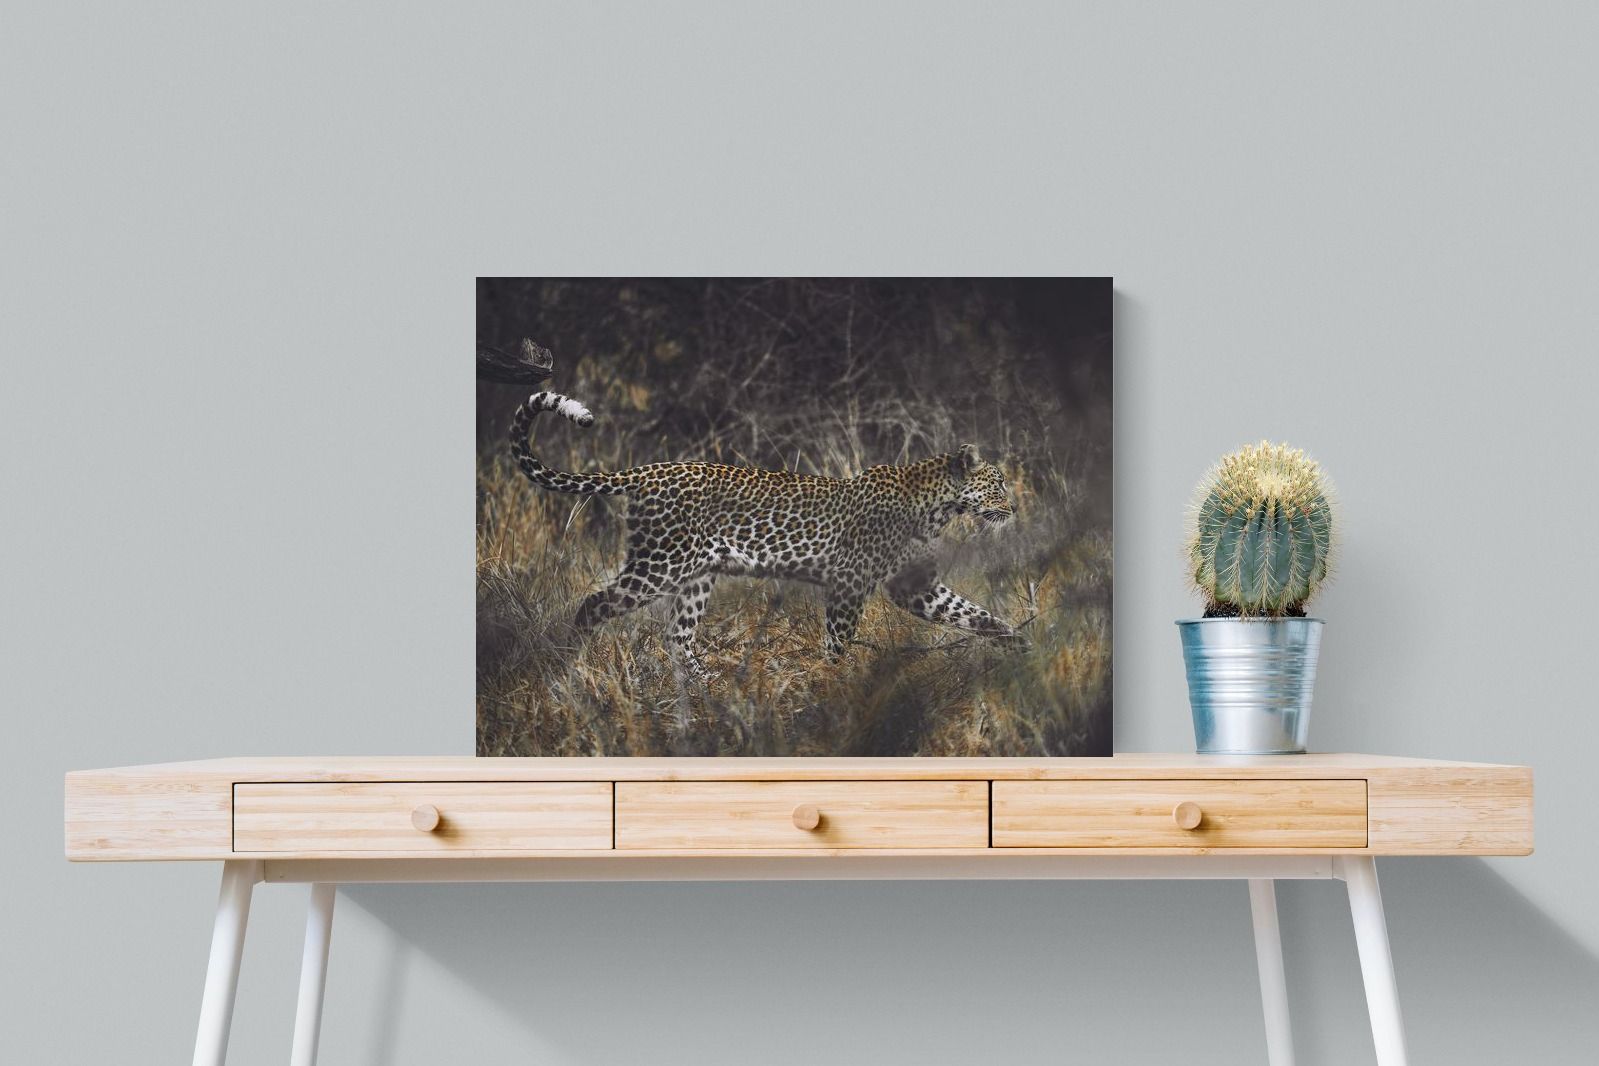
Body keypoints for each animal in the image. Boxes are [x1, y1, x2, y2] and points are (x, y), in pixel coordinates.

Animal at [510, 390, 1020, 676]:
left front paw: (1018, 643)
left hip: (697, 575)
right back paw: (570, 664)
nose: (1013, 508)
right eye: (997, 484)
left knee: (677, 637)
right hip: (660, 563)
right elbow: (838, 639)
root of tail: (650, 469)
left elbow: (971, 613)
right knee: (594, 605)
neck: (936, 506)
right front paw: (834, 684)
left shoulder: (914, 587)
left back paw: (706, 688)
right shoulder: (849, 581)